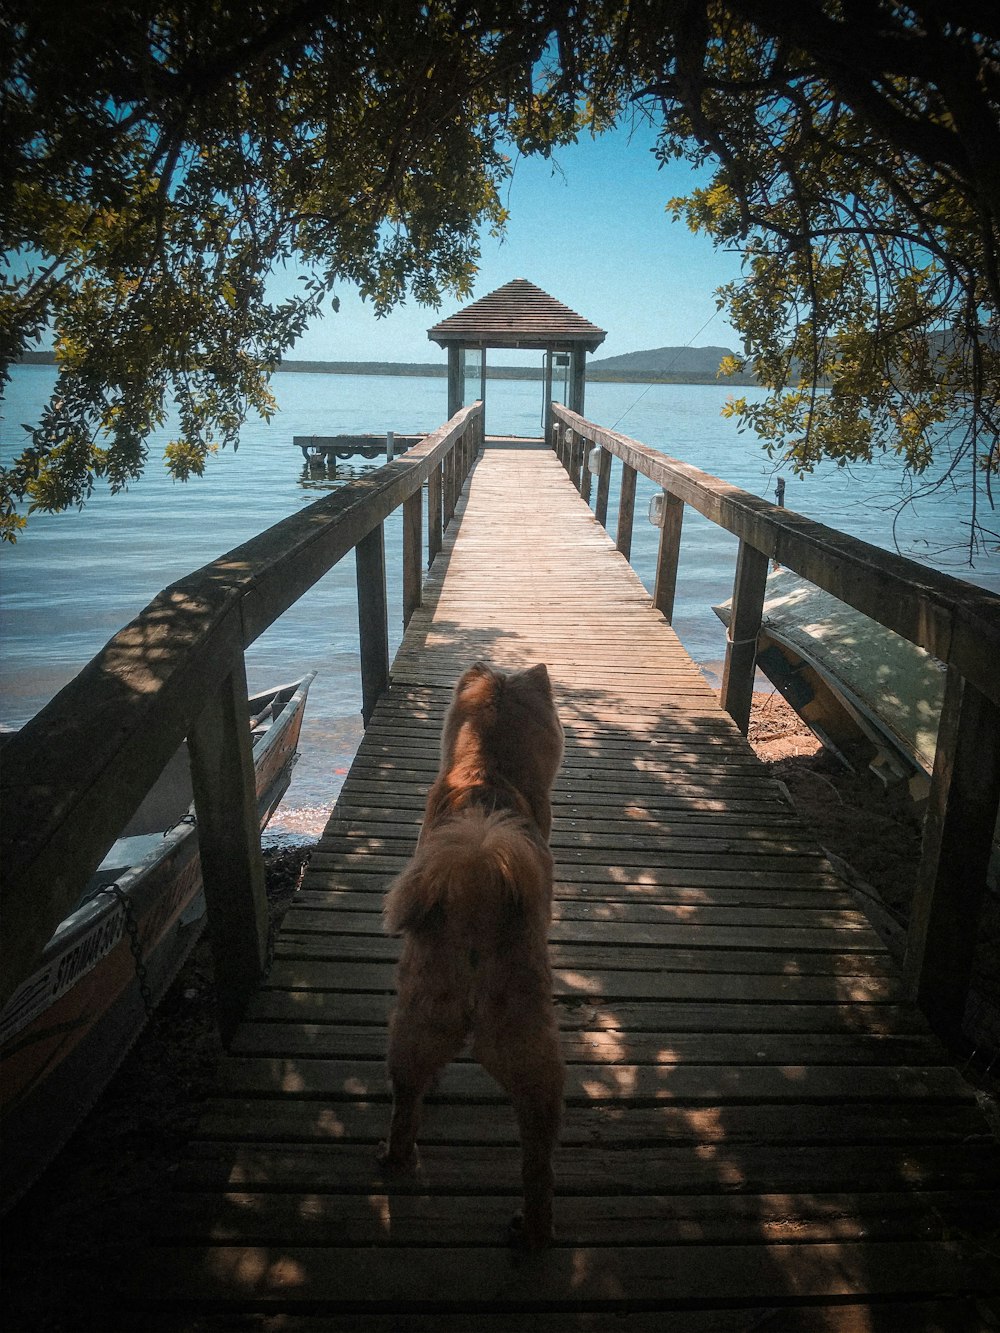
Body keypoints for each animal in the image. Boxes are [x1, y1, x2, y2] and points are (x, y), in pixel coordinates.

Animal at [378, 661, 565, 1242]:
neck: (489, 768)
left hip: (417, 1022)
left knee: (406, 1103)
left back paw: (396, 1159)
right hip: (527, 1043)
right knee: (538, 1156)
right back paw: (534, 1231)